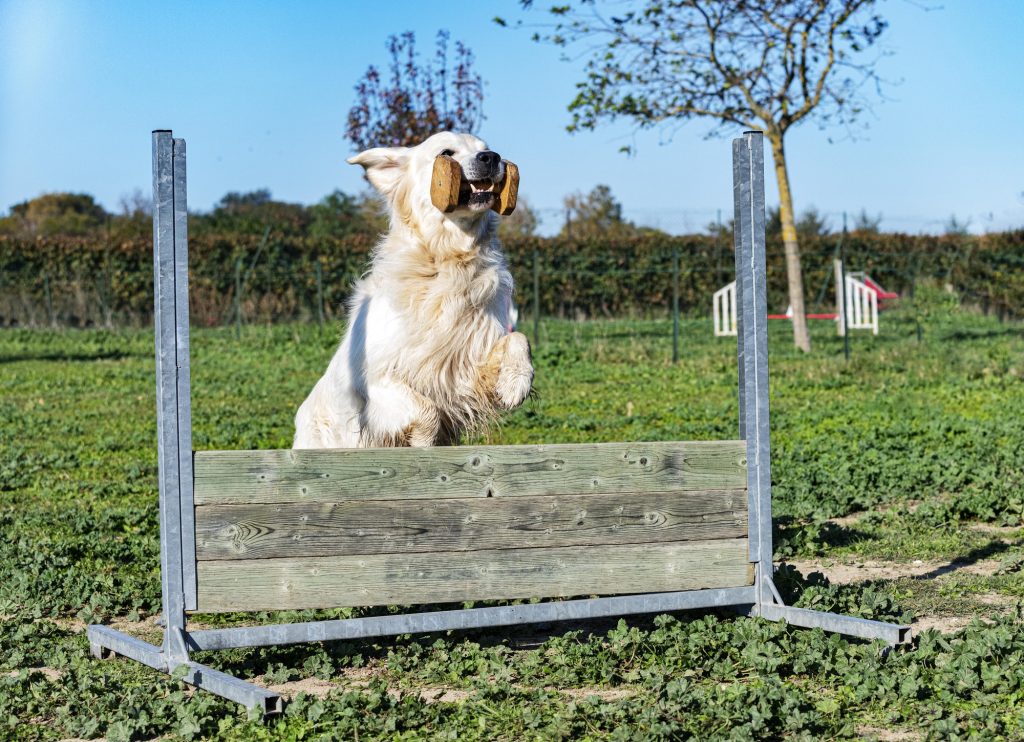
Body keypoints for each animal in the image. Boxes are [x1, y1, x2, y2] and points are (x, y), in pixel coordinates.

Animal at [292, 132, 532, 446]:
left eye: (486, 148)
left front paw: (516, 382)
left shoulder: (466, 364)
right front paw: (421, 444)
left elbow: (519, 338)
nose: (491, 158)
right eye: (446, 153)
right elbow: (425, 408)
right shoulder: (372, 382)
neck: (445, 263)